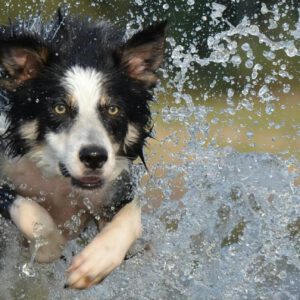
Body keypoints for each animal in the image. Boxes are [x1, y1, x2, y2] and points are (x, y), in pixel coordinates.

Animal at [0, 10, 165, 290]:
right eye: (59, 108)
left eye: (113, 109)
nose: (94, 157)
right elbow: (32, 212)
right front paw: (47, 247)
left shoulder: (115, 185)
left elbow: (132, 215)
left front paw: (94, 263)